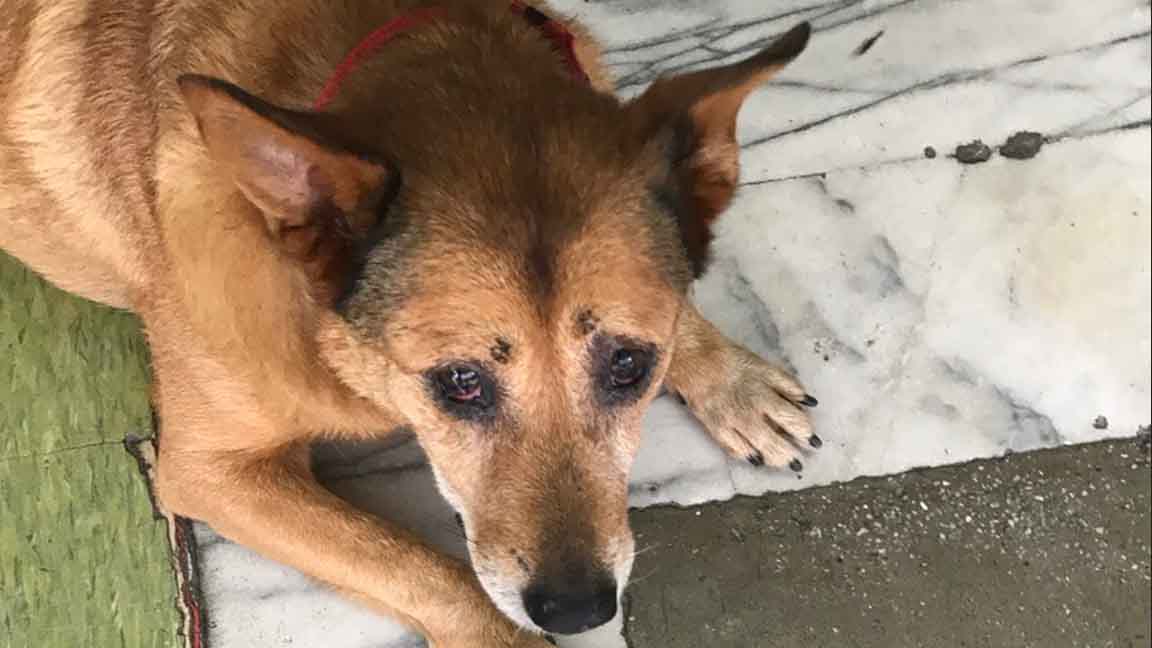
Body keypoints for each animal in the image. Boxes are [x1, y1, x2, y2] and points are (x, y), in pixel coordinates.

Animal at [0, 1, 817, 645]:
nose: (579, 611)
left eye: (629, 366)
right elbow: (421, 569)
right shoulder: (208, 472)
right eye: (459, 381)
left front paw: (727, 375)